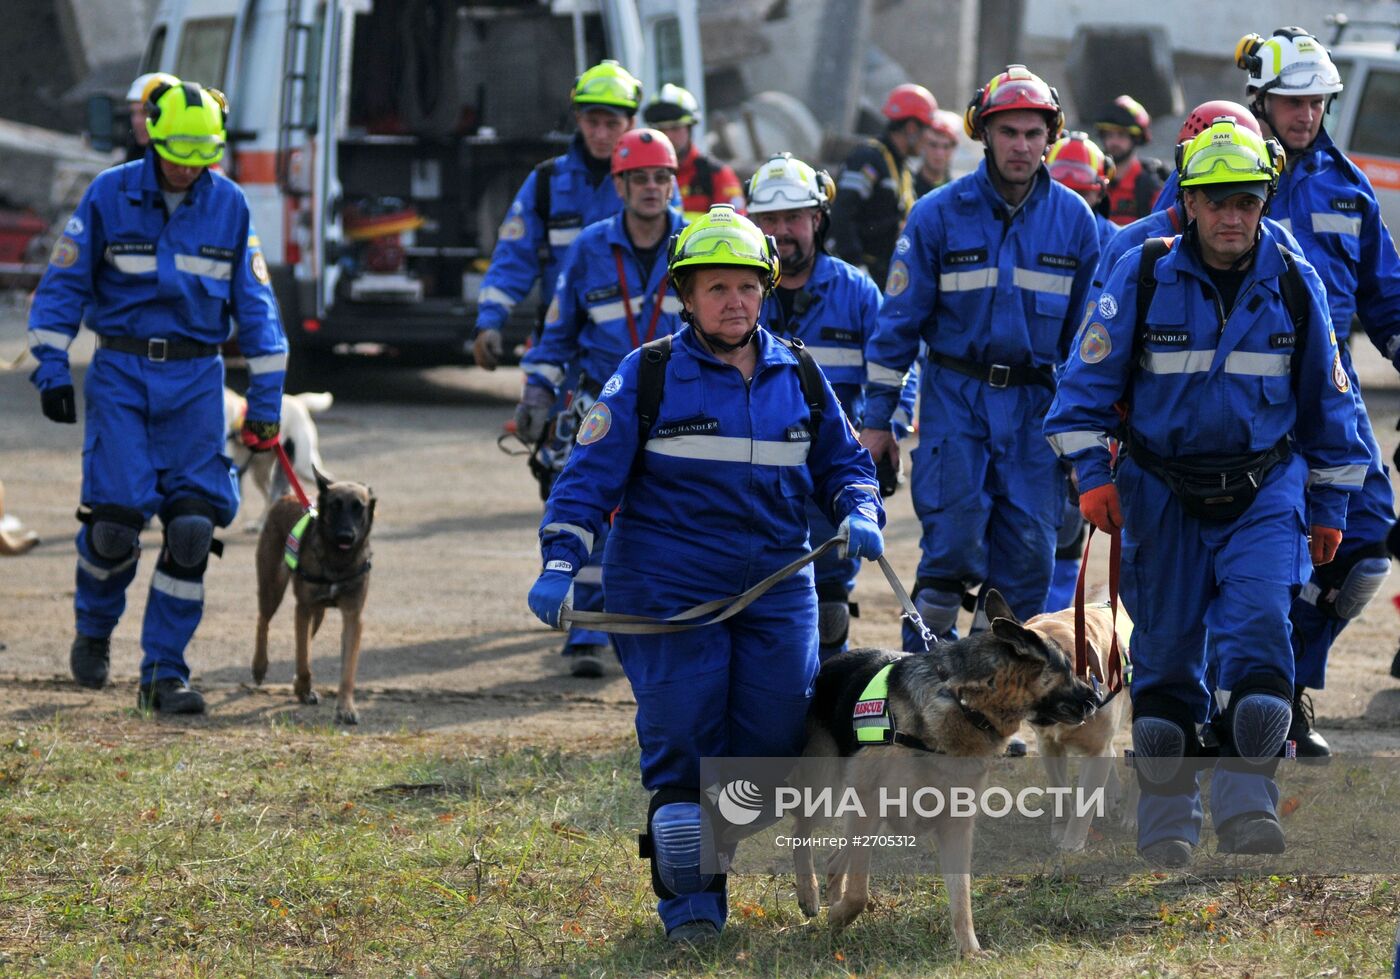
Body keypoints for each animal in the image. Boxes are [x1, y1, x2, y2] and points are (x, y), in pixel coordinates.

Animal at [252, 470, 372, 722]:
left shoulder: (353, 617)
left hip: (318, 614)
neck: (337, 561)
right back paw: (259, 666)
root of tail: (286, 497)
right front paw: (303, 687)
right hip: (273, 589)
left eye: (359, 508)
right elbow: (303, 659)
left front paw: (346, 707)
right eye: (335, 506)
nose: (346, 536)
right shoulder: (303, 610)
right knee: (263, 622)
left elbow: (347, 670)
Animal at [795, 591, 1097, 957]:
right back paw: (810, 894)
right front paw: (839, 915)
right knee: (802, 835)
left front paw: (970, 952)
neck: (963, 703)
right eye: (1066, 668)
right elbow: (859, 891)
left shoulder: (956, 825)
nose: (1097, 696)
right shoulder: (869, 803)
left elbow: (961, 896)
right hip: (826, 791)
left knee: (838, 856)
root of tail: (827, 665)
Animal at [1030, 602, 1136, 851]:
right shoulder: (1048, 746)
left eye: (1068, 659)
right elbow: (1059, 791)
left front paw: (1071, 845)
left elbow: (1084, 803)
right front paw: (1059, 832)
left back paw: (1132, 818)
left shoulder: (1097, 752)